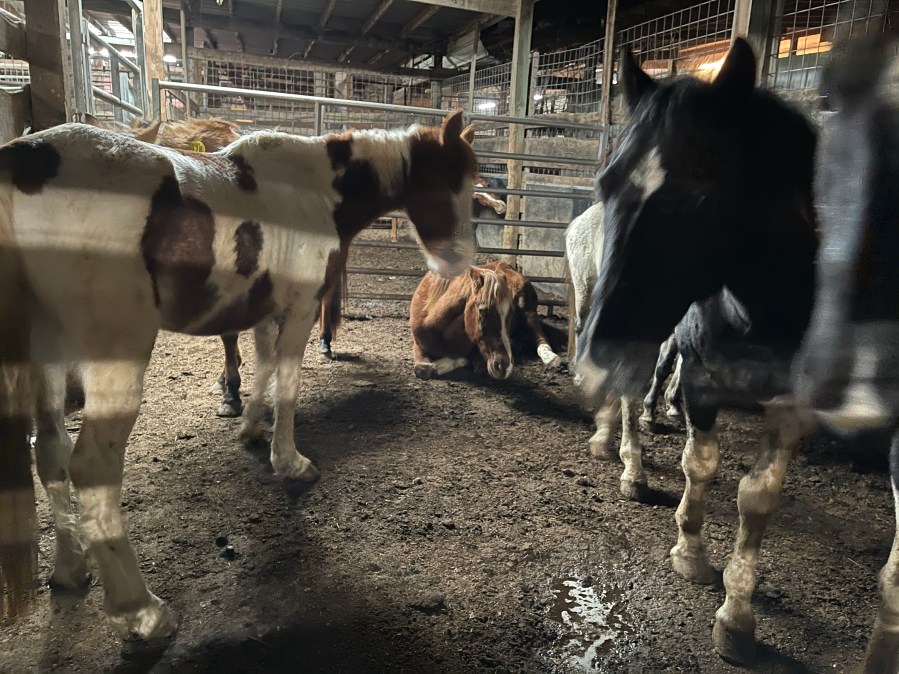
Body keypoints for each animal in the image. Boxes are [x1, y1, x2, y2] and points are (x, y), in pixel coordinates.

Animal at [0, 110, 479, 638]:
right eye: (450, 178)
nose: (461, 260)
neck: (317, 188)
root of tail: (21, 162)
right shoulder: (301, 308)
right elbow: (288, 385)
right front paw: (289, 461)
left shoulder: (267, 312)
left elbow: (264, 370)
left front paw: (250, 427)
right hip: (115, 356)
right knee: (91, 467)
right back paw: (142, 610)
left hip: (46, 353)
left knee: (51, 454)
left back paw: (70, 571)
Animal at [410, 261, 561, 381]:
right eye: (483, 311)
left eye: (511, 314)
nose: (506, 367)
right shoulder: (417, 342)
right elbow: (422, 369)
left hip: (527, 310)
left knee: (540, 336)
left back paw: (551, 358)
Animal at [576, 39, 820, 665]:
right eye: (607, 182)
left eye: (701, 194)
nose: (596, 357)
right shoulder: (702, 377)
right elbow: (700, 463)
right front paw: (690, 551)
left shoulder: (794, 402)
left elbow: (757, 496)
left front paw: (736, 616)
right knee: (638, 397)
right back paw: (631, 465)